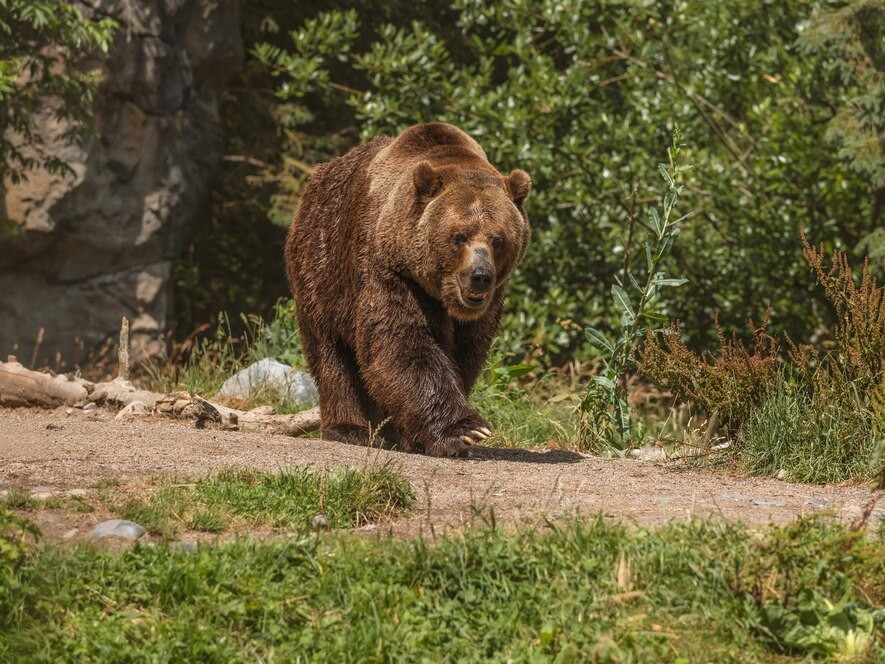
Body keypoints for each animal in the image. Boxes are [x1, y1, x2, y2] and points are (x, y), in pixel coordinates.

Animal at [286, 122, 528, 456]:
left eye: (498, 239)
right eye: (459, 236)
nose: (480, 276)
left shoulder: (483, 309)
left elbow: (466, 353)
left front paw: (423, 436)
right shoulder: (390, 270)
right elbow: (401, 342)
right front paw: (464, 430)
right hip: (321, 266)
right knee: (331, 352)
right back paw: (349, 428)